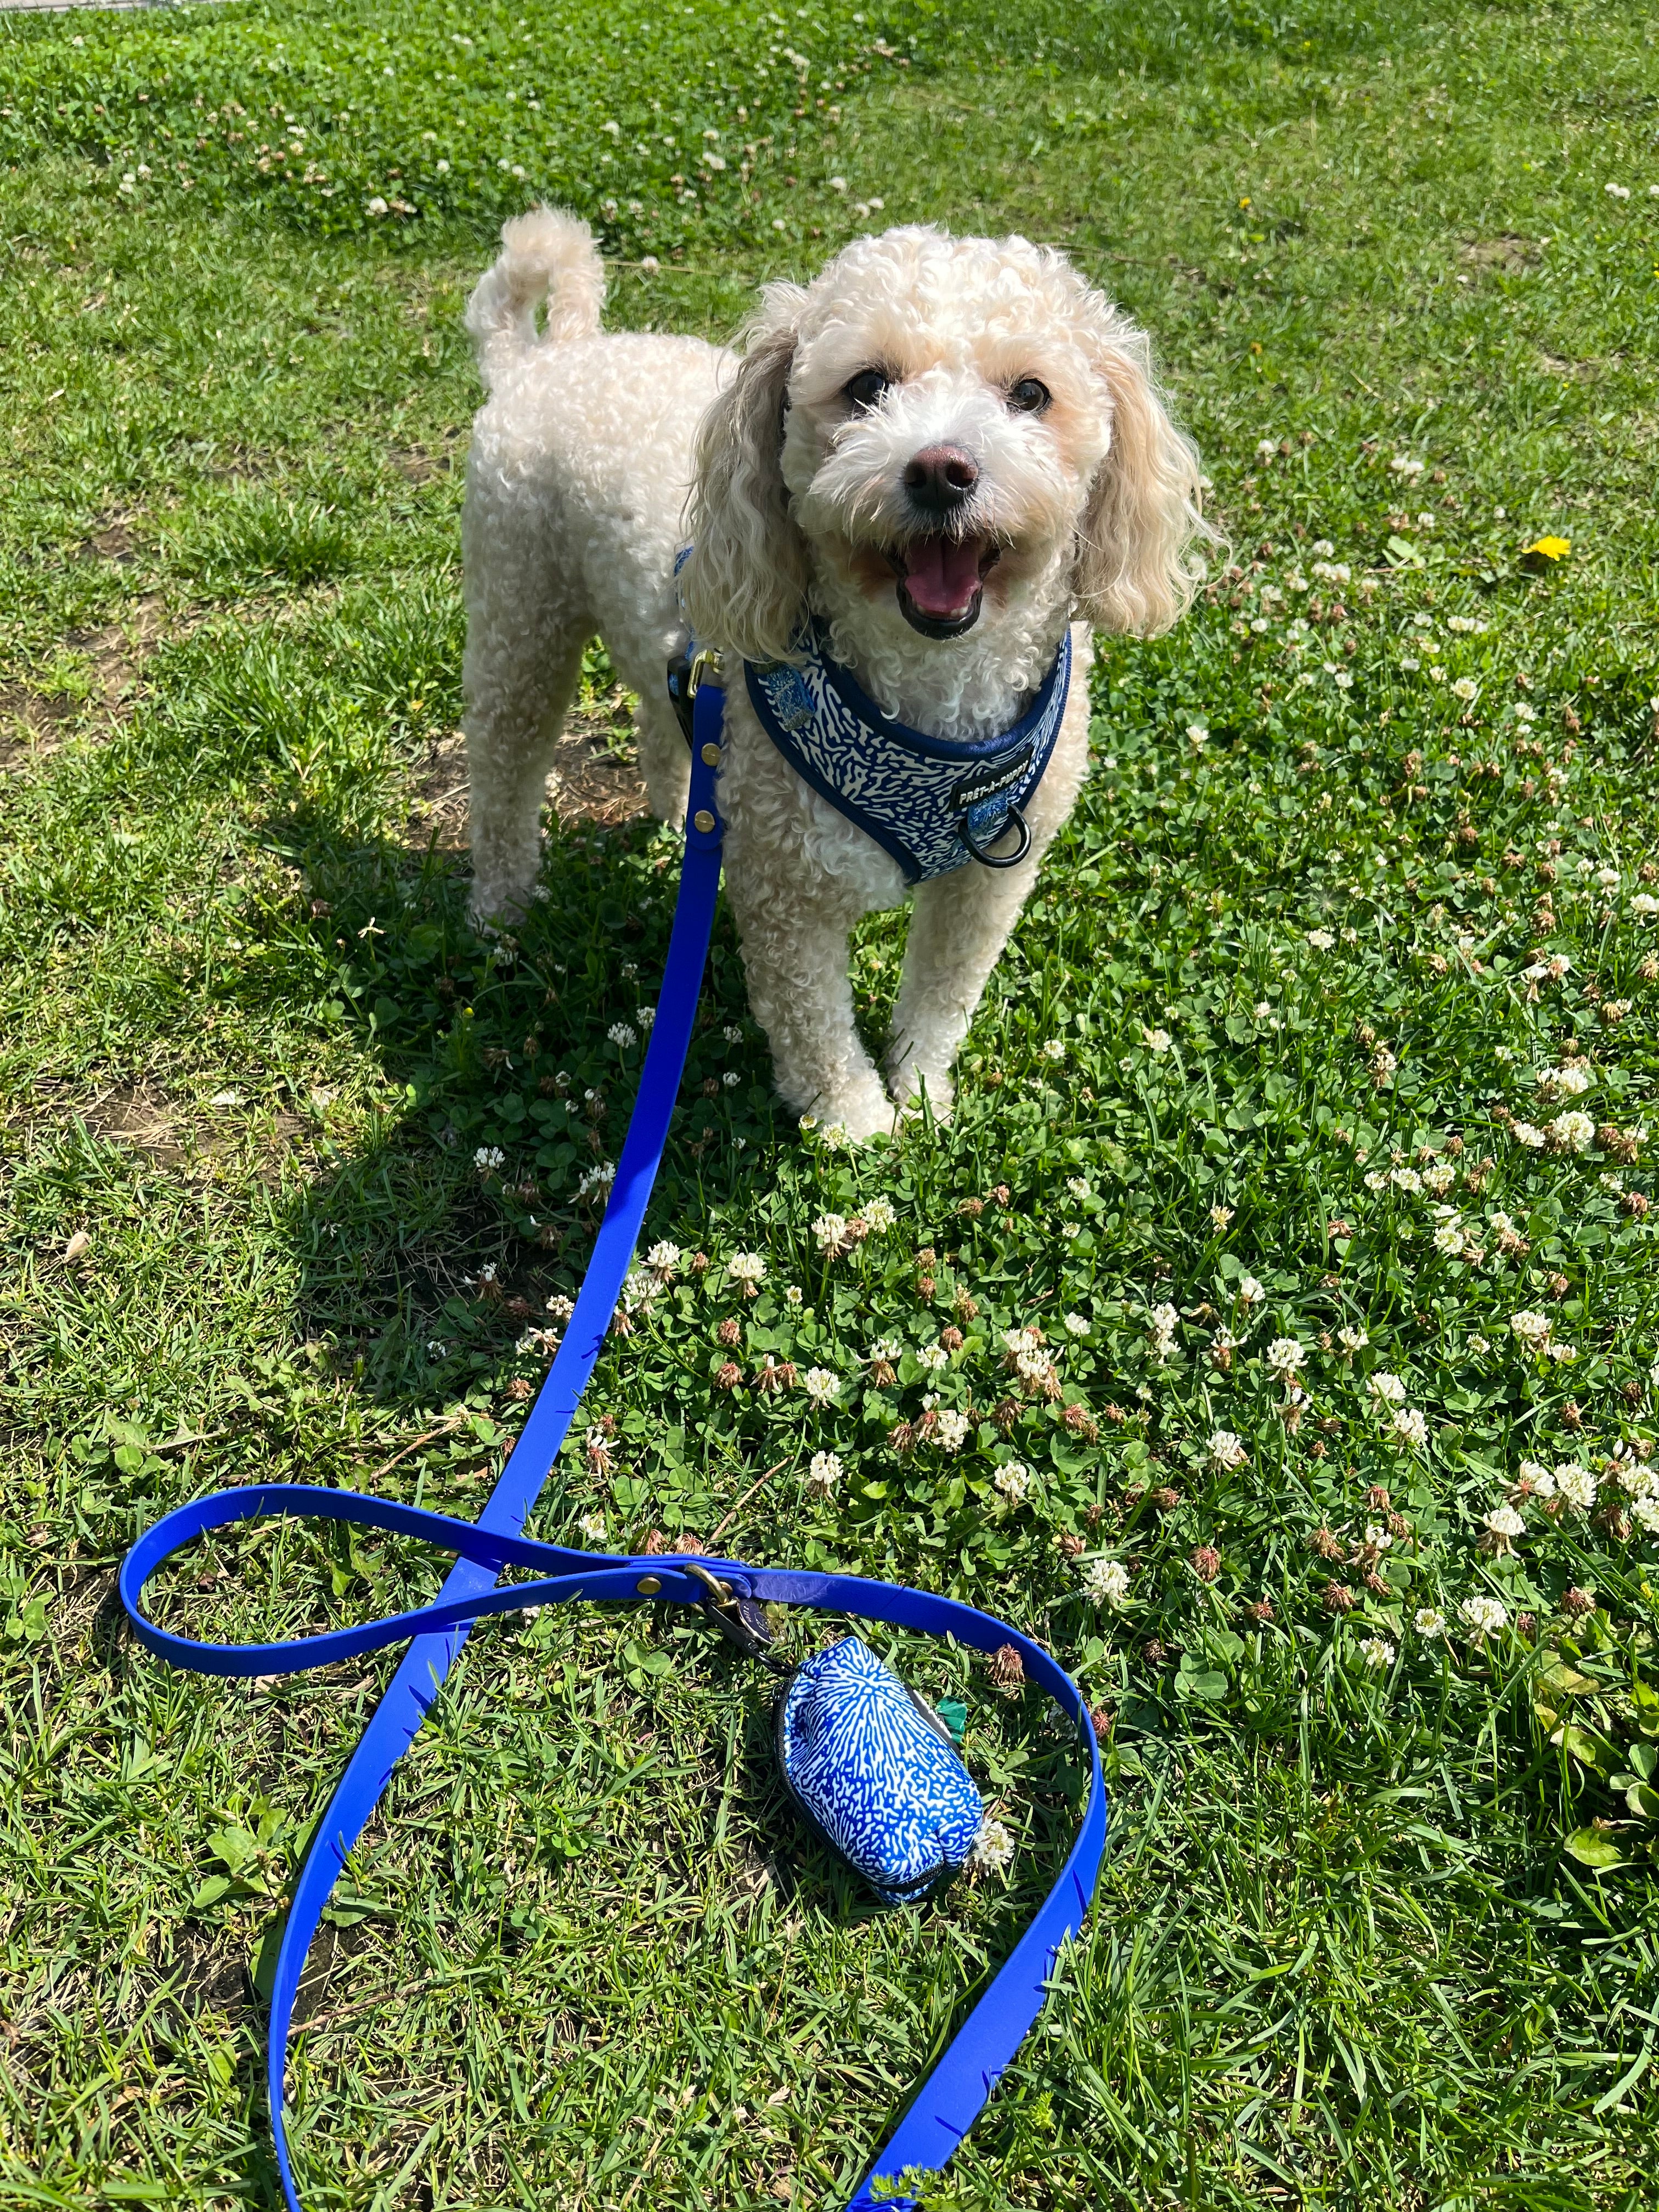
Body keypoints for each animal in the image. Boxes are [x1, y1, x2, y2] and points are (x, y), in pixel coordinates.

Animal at [462, 208, 1203, 1141]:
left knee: (659, 719)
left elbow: (944, 996)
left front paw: (921, 1092)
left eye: (1031, 394)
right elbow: (812, 1021)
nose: (941, 470)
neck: (931, 693)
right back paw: (502, 909)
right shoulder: (788, 893)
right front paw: (856, 1123)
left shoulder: (989, 880)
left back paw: (678, 815)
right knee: (506, 766)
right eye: (866, 385)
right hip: (521, 612)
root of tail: (550, 357)